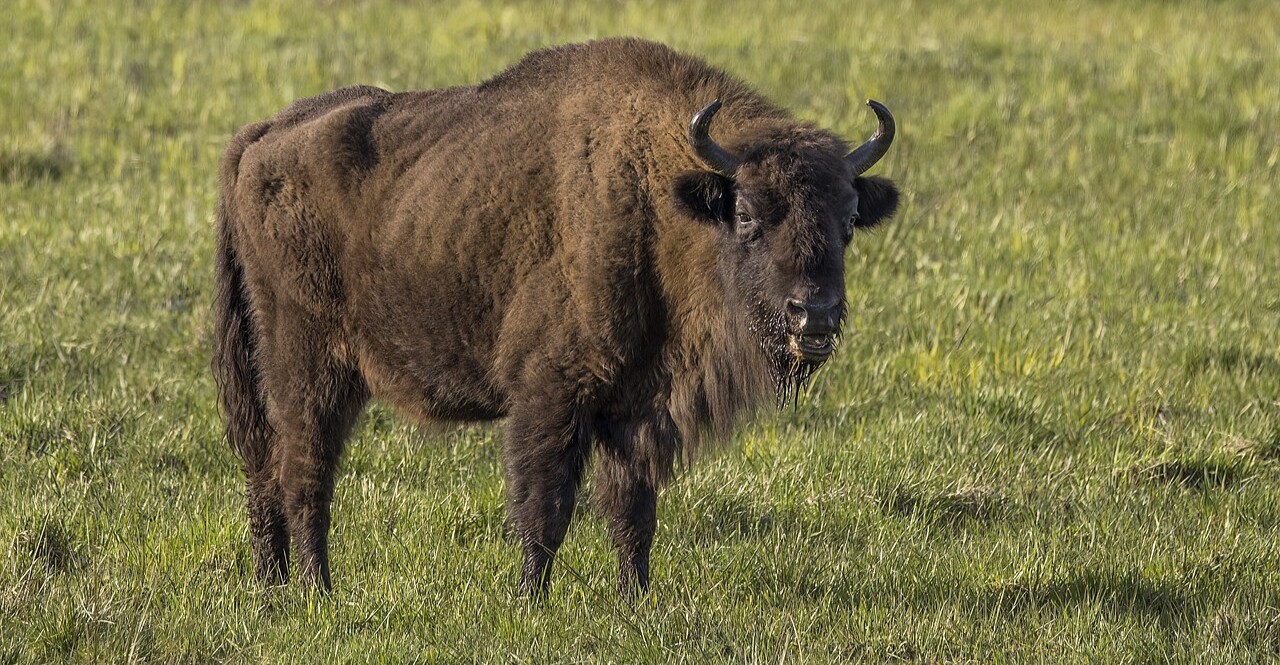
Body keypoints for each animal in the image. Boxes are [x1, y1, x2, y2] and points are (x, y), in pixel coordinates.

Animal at [213, 38, 899, 596]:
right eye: (749, 215)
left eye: (847, 222)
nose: (814, 317)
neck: (658, 195)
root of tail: (259, 138)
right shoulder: (552, 396)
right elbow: (545, 507)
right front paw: (528, 600)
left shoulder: (637, 407)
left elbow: (631, 511)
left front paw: (635, 600)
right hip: (309, 366)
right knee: (303, 470)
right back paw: (317, 589)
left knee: (268, 466)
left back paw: (275, 584)